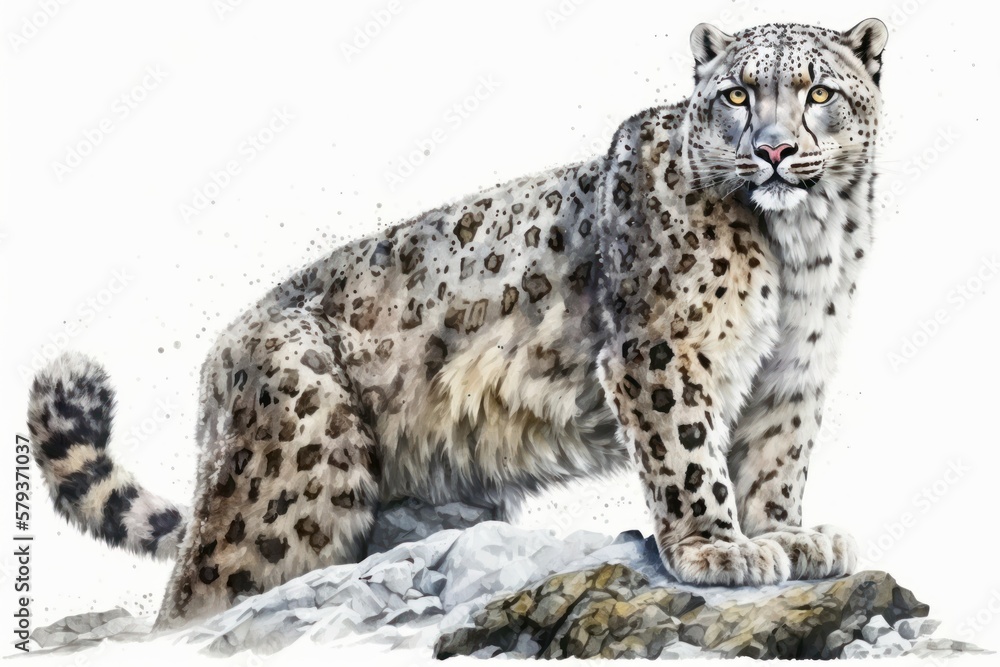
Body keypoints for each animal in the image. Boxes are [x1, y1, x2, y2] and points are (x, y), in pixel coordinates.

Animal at [27, 18, 887, 628]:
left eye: (819, 93)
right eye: (736, 95)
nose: (774, 150)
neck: (802, 247)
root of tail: (219, 357)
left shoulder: (794, 370)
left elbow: (775, 458)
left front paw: (789, 536)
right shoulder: (664, 349)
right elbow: (687, 453)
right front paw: (715, 549)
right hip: (294, 475)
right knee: (203, 591)